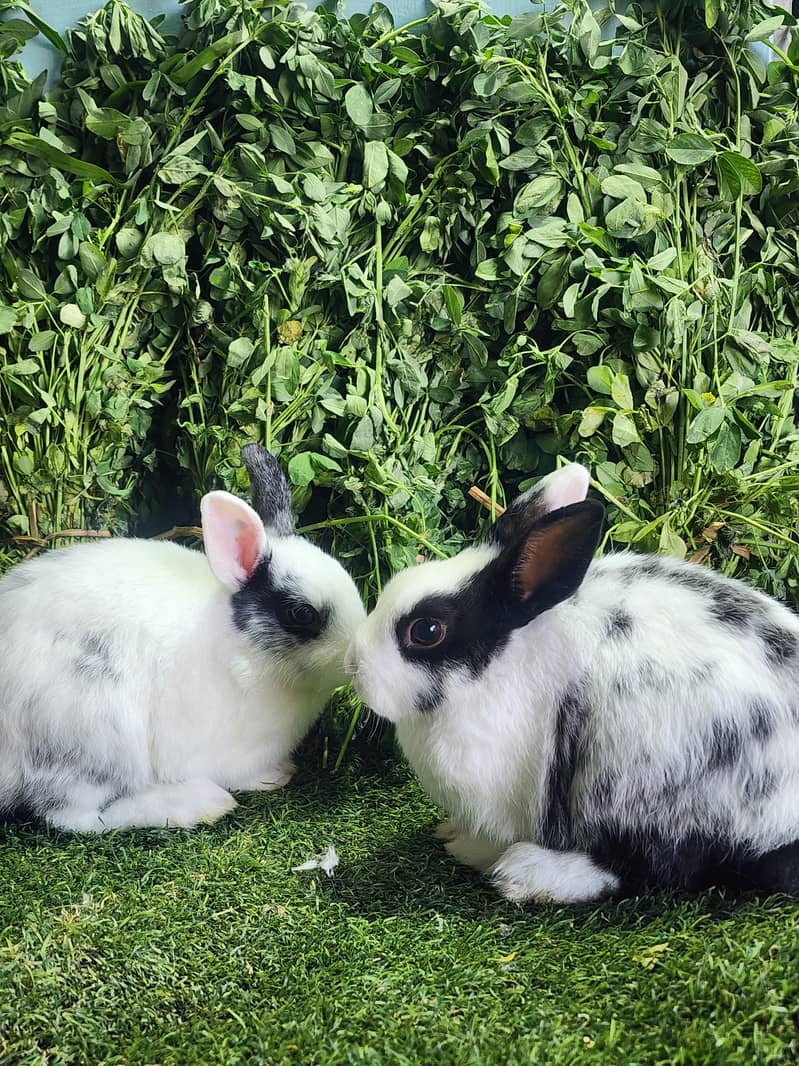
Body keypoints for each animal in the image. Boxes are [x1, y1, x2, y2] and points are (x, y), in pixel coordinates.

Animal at [0, 444, 366, 833]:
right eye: (301, 614)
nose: (355, 657)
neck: (241, 652)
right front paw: (272, 778)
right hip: (93, 741)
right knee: (78, 815)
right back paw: (201, 804)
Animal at [348, 463, 799, 903]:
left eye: (426, 631)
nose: (355, 664)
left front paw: (469, 848)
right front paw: (453, 833)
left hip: (650, 782)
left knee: (659, 868)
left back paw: (528, 874)